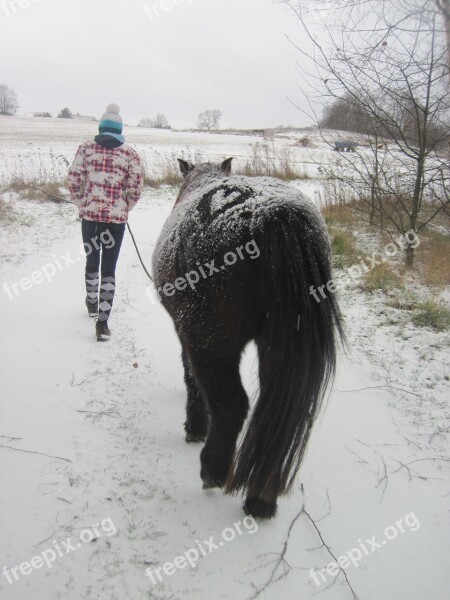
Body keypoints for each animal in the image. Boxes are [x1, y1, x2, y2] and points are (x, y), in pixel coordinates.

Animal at [151, 159, 344, 520]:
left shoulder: (186, 336)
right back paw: (260, 500)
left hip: (210, 344)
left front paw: (195, 426)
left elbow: (191, 377)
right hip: (280, 349)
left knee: (232, 404)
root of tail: (274, 215)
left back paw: (212, 470)